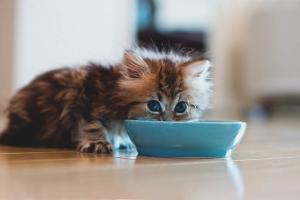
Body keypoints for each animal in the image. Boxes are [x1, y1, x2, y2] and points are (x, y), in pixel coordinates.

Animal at [0, 47, 212, 153]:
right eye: (153, 105)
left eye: (181, 107)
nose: (167, 123)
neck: (113, 91)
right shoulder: (83, 95)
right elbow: (92, 125)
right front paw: (97, 143)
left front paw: (121, 140)